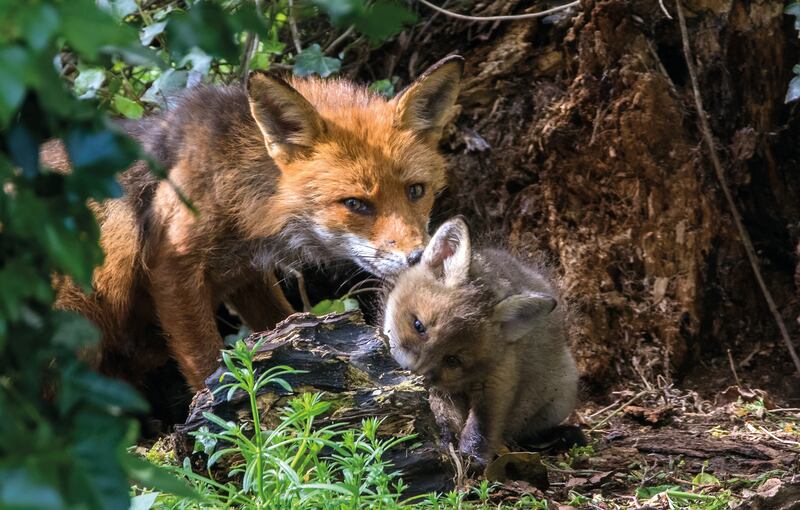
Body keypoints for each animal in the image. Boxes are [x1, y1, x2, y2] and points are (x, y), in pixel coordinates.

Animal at [45, 56, 464, 392]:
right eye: (355, 204)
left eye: (416, 190)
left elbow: (280, 323)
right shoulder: (171, 267)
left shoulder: (247, 277)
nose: (418, 257)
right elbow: (206, 365)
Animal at [382, 217, 579, 467]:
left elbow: (482, 427)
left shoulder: (497, 379)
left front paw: (472, 459)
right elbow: (444, 415)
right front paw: (447, 441)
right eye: (418, 326)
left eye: (453, 360)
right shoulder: (442, 391)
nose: (412, 375)